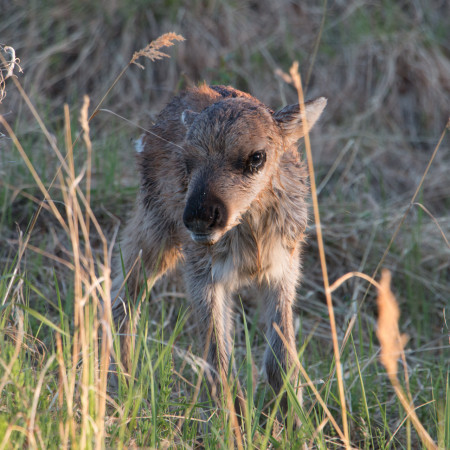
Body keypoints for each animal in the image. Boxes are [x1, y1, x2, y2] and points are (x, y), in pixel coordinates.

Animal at [110, 85, 326, 422]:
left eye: (257, 157)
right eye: (186, 160)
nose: (200, 216)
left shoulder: (283, 271)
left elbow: (281, 362)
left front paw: (296, 425)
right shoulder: (203, 275)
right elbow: (219, 363)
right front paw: (231, 427)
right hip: (155, 228)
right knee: (123, 297)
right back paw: (125, 389)